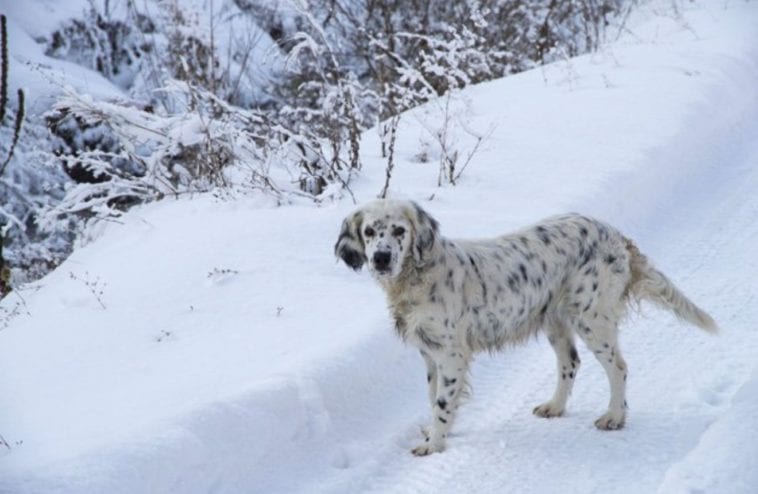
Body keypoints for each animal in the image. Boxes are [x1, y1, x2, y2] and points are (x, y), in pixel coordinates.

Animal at [336, 200, 720, 456]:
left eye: (399, 231)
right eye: (369, 232)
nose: (381, 258)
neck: (418, 274)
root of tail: (614, 233)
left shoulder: (451, 354)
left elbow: (443, 402)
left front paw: (434, 443)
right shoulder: (430, 354)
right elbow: (434, 398)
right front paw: (434, 433)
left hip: (591, 318)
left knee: (618, 367)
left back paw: (613, 416)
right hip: (556, 320)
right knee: (570, 363)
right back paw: (555, 407)